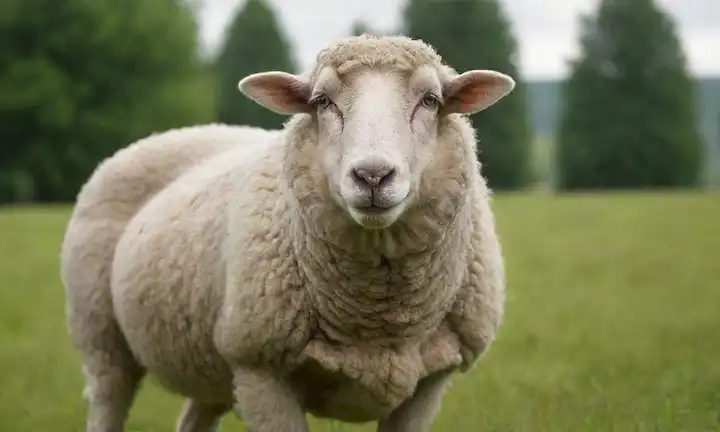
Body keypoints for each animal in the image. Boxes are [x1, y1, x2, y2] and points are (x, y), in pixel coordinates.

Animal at [60, 34, 514, 432]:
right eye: (322, 101)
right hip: (101, 338)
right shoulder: (259, 371)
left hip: (213, 366)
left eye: (431, 100)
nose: (372, 176)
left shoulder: (429, 384)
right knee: (107, 400)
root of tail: (175, 132)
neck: (378, 321)